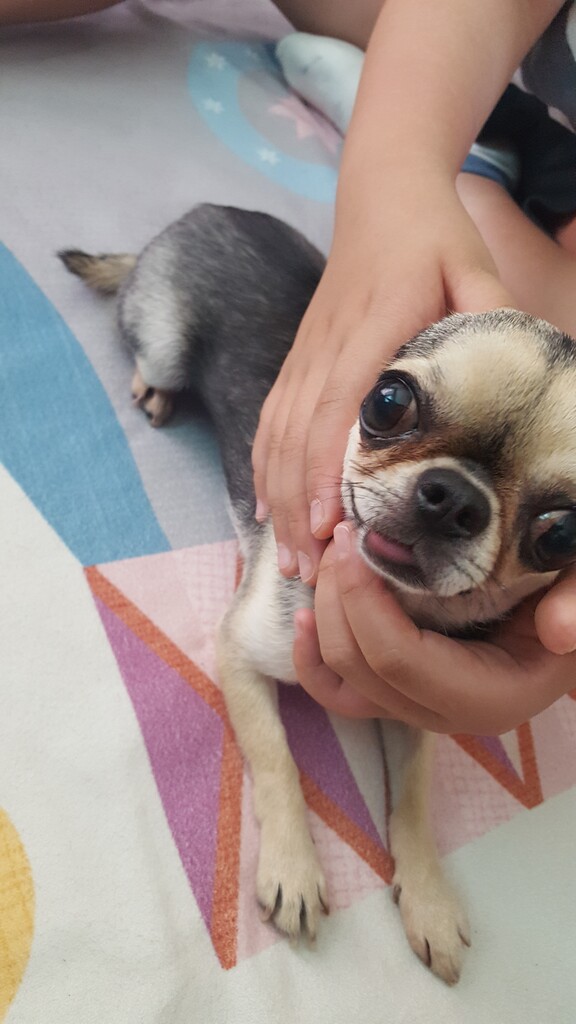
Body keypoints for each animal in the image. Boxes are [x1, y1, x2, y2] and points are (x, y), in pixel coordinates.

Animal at [60, 204, 576, 984]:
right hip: (164, 339)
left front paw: (428, 896)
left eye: (560, 535)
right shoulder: (238, 655)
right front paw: (294, 870)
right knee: (152, 352)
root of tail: (201, 213)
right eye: (387, 402)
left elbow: (414, 800)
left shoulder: (409, 713)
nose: (453, 496)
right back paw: (156, 389)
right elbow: (277, 760)